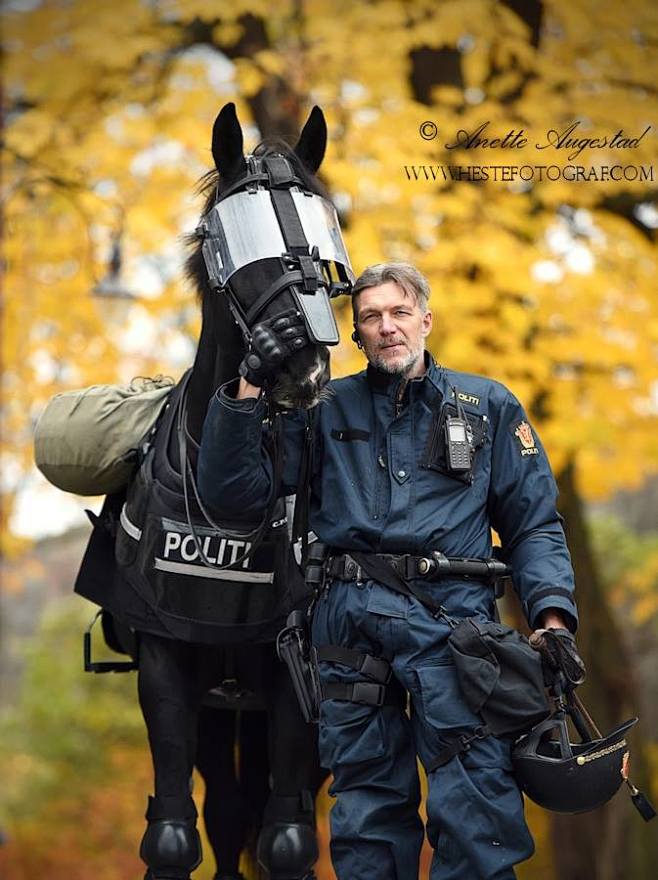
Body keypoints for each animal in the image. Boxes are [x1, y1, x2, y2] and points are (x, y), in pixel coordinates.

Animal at [74, 105, 336, 880]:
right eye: (236, 237)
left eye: (322, 230)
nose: (304, 368)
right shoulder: (167, 669)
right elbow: (174, 834)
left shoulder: (295, 679)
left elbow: (287, 838)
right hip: (221, 712)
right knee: (223, 812)